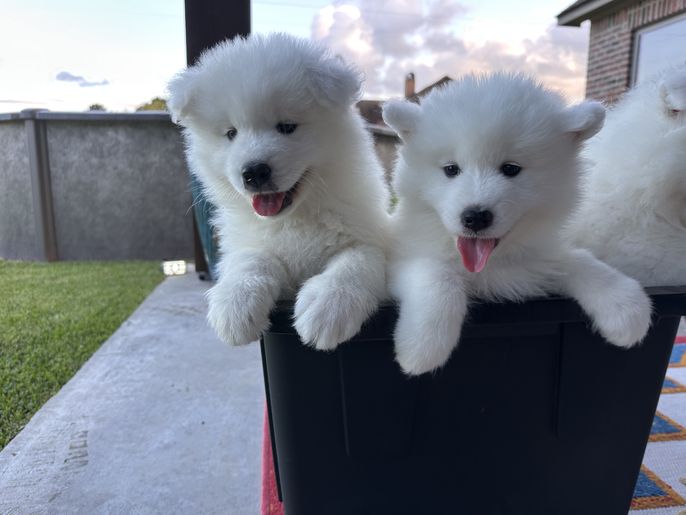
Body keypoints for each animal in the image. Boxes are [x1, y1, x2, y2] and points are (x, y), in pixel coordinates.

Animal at [167, 33, 388, 350]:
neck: (294, 218)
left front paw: (329, 306)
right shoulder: (248, 243)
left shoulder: (369, 237)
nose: (254, 172)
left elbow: (354, 261)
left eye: (286, 126)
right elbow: (250, 259)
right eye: (231, 133)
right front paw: (235, 302)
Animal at [383, 73, 652, 375]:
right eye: (451, 169)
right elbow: (438, 276)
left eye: (511, 169)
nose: (475, 217)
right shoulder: (403, 256)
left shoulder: (538, 261)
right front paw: (423, 344)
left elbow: (578, 260)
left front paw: (626, 305)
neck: (494, 264)